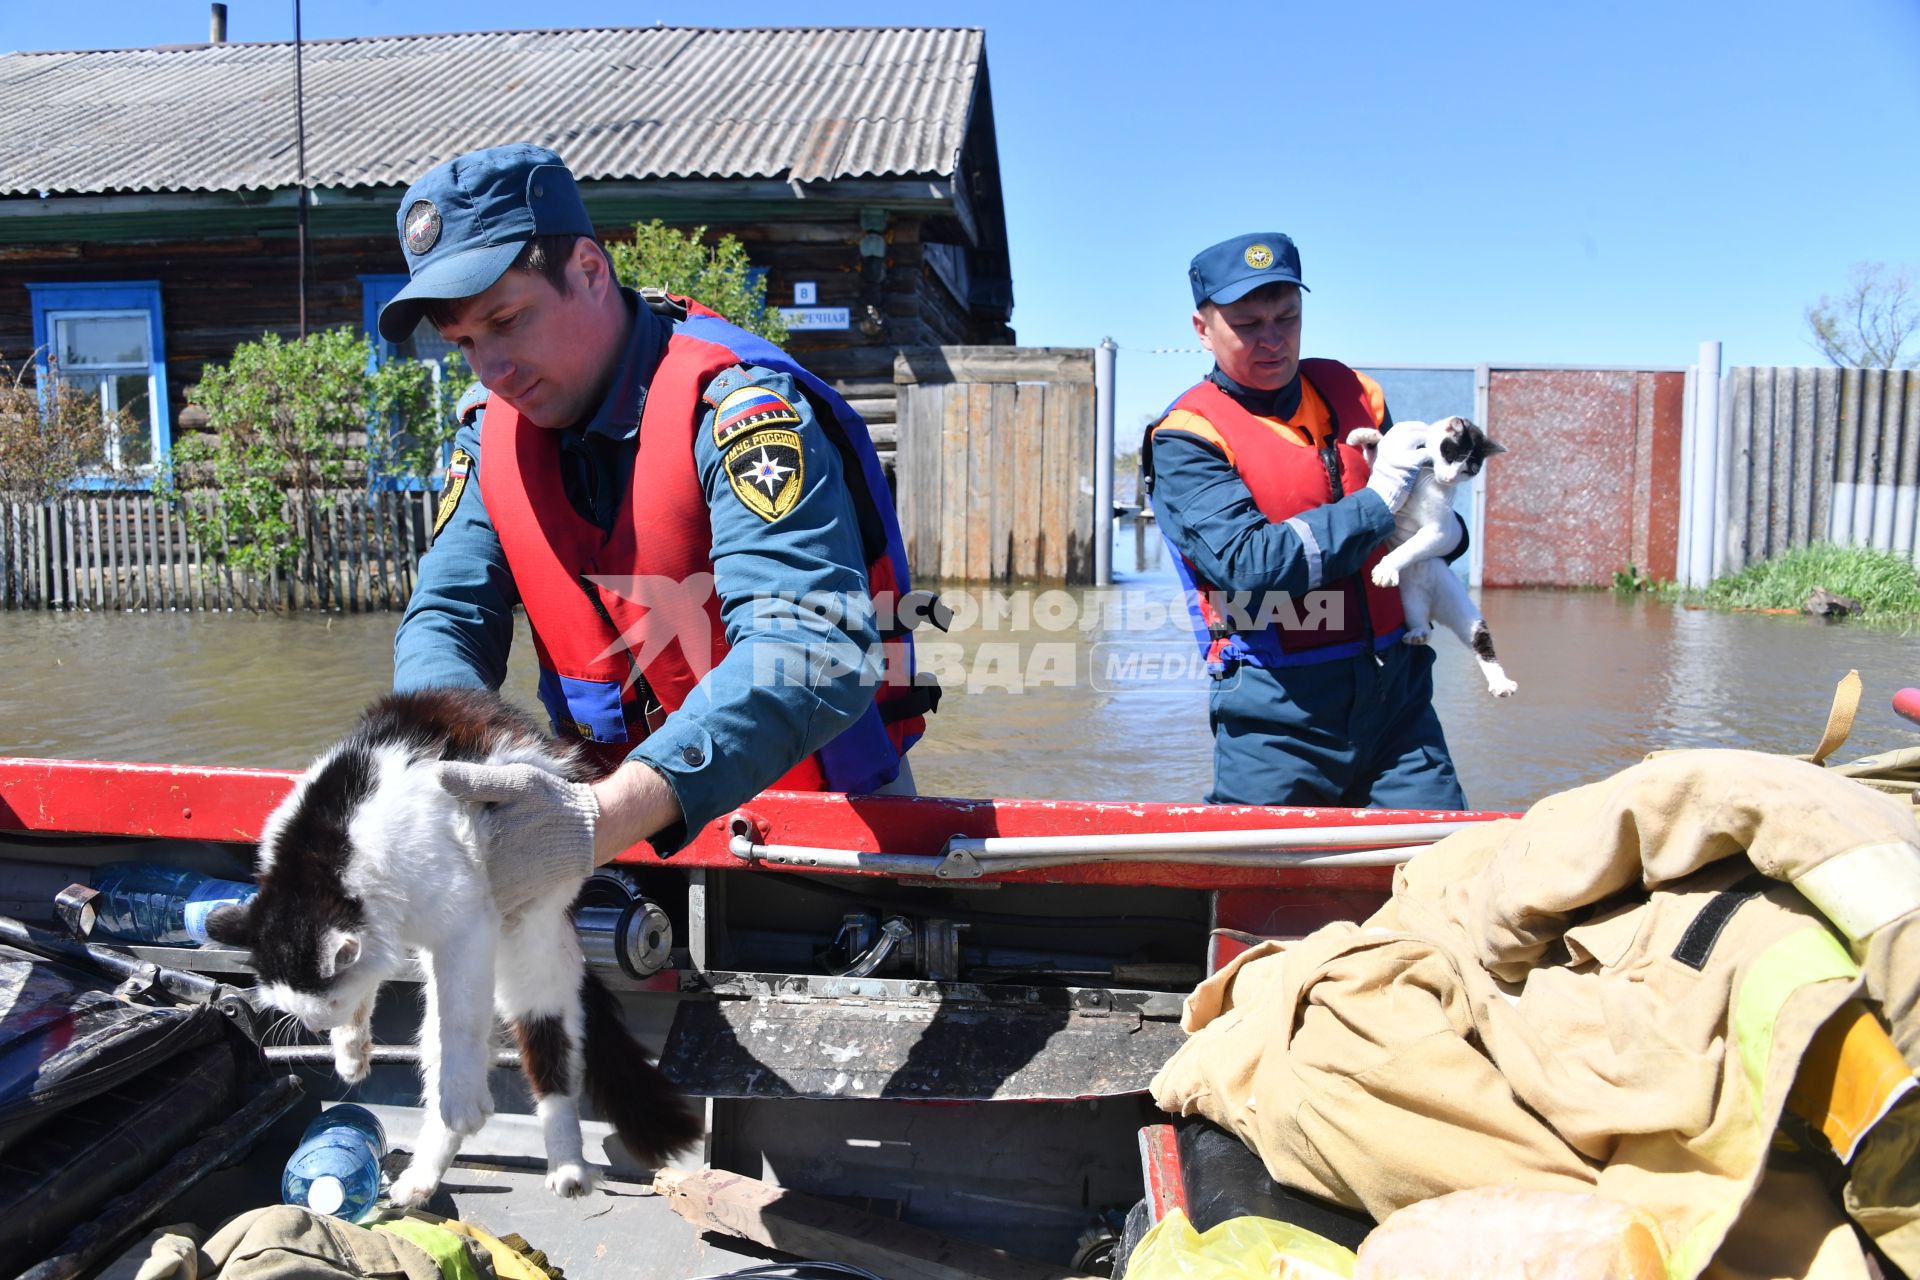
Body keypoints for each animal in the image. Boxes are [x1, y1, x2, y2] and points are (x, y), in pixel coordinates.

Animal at [206, 690, 702, 1205]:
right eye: (308, 1013)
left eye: (326, 1008)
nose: (316, 1026)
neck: (321, 858)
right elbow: (379, 994)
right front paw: (350, 1051)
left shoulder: (464, 923)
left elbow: (461, 1023)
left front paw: (460, 1100)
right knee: (442, 1056)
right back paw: (420, 1178)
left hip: (532, 945)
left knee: (549, 1060)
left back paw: (562, 1164)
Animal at [374, 147, 929, 871]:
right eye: (461, 339)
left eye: (507, 319)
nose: (495, 372)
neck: (605, 399)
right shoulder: (474, 436)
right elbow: (450, 599)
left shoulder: (752, 407)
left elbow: (800, 616)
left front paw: (569, 824)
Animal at [1136, 235, 1466, 805]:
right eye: (1248, 323)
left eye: (1285, 315)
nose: (1272, 343)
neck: (1270, 399)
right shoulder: (1182, 450)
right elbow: (1247, 552)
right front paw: (1390, 468)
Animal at [1351, 418, 1512, 702]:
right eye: (1450, 456)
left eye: (1468, 471)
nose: (1449, 479)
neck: (1426, 474)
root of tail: (1433, 607)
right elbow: (1375, 456)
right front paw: (1365, 436)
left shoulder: (1439, 531)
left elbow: (1409, 548)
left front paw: (1386, 568)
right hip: (1409, 600)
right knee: (1422, 626)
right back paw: (1417, 634)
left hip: (1460, 605)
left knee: (1481, 641)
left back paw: (1501, 683)